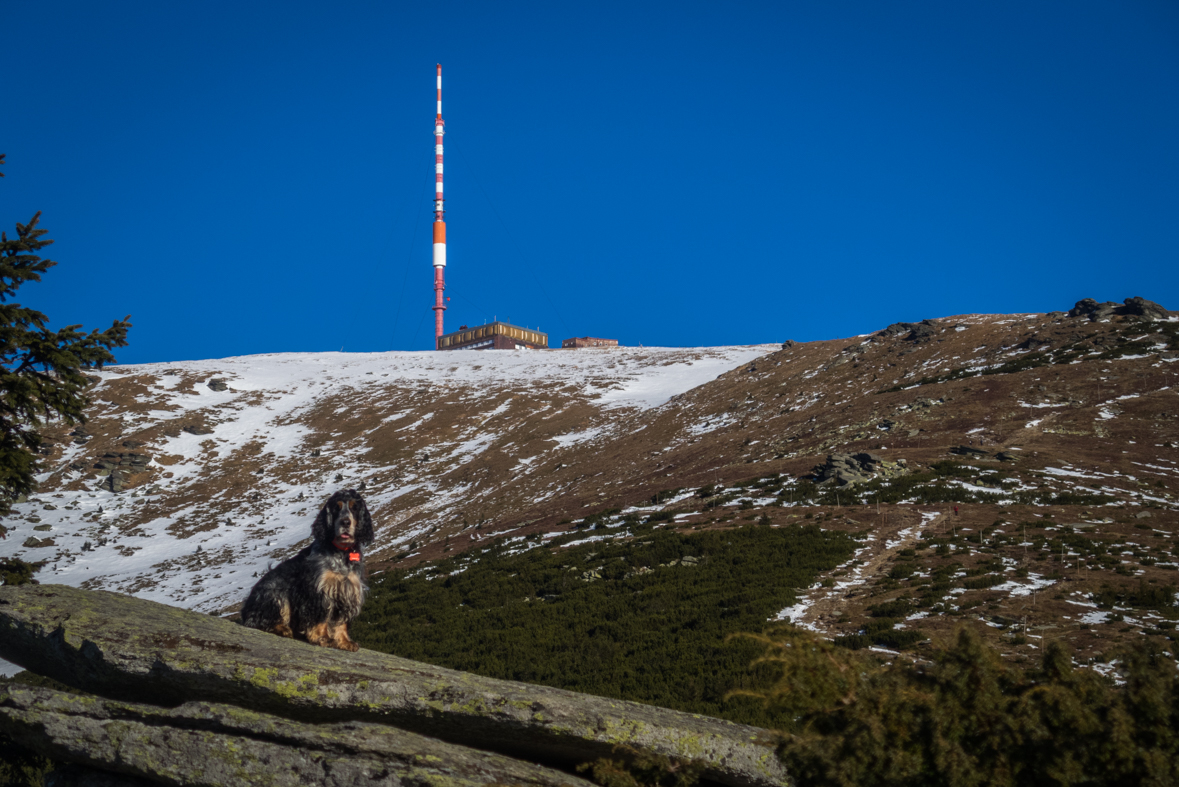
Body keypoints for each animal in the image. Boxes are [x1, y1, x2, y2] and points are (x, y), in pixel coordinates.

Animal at [236, 492, 370, 650]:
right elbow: (320, 617)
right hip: (274, 592)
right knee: (259, 621)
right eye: (336, 508)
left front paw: (344, 642)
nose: (345, 522)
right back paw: (283, 629)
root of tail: (245, 610)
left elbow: (341, 623)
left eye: (354, 508)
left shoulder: (348, 590)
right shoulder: (319, 590)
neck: (341, 552)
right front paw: (322, 638)